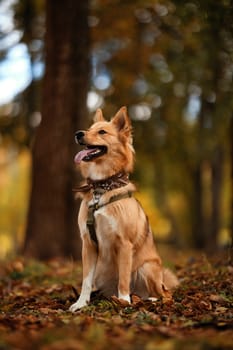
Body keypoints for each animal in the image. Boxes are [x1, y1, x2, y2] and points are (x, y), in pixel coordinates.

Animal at [69, 106, 178, 312]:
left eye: (102, 132)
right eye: (89, 129)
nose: (78, 134)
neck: (103, 187)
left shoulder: (125, 244)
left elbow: (124, 278)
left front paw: (124, 301)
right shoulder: (88, 244)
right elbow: (86, 280)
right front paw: (81, 303)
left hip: (147, 268)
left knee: (164, 294)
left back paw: (146, 299)